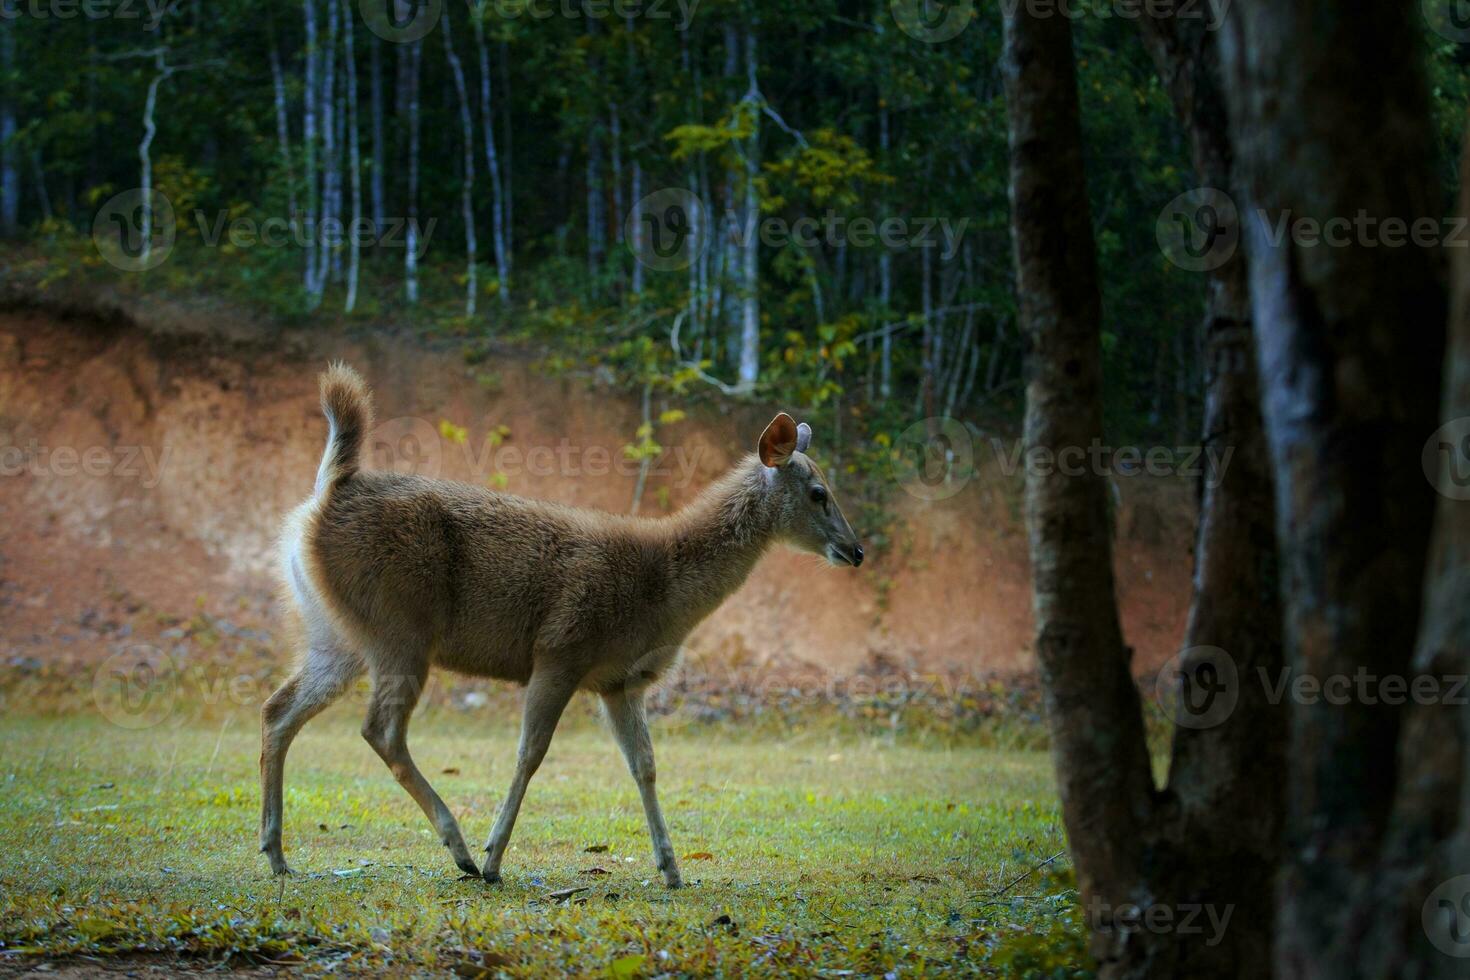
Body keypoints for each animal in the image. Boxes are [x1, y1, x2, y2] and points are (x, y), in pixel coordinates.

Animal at [261, 364, 858, 887]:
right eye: (819, 493)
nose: (856, 550)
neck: (663, 590)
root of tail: (324, 495)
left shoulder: (621, 682)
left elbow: (645, 765)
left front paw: (671, 868)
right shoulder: (561, 648)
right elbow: (531, 753)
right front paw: (495, 858)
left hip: (336, 635)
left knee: (278, 710)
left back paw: (276, 854)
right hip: (399, 627)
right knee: (379, 729)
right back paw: (460, 850)